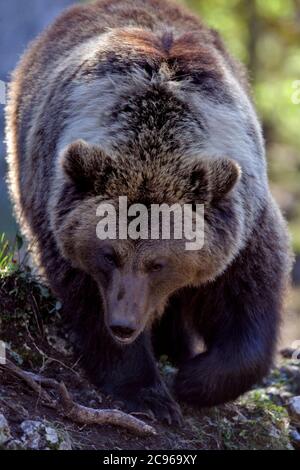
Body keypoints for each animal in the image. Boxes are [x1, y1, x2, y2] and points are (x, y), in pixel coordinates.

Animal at [4, 0, 290, 426]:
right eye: (109, 254)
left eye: (159, 263)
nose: (124, 325)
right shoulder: (60, 218)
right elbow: (87, 300)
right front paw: (149, 393)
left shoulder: (244, 224)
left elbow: (248, 301)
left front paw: (193, 379)